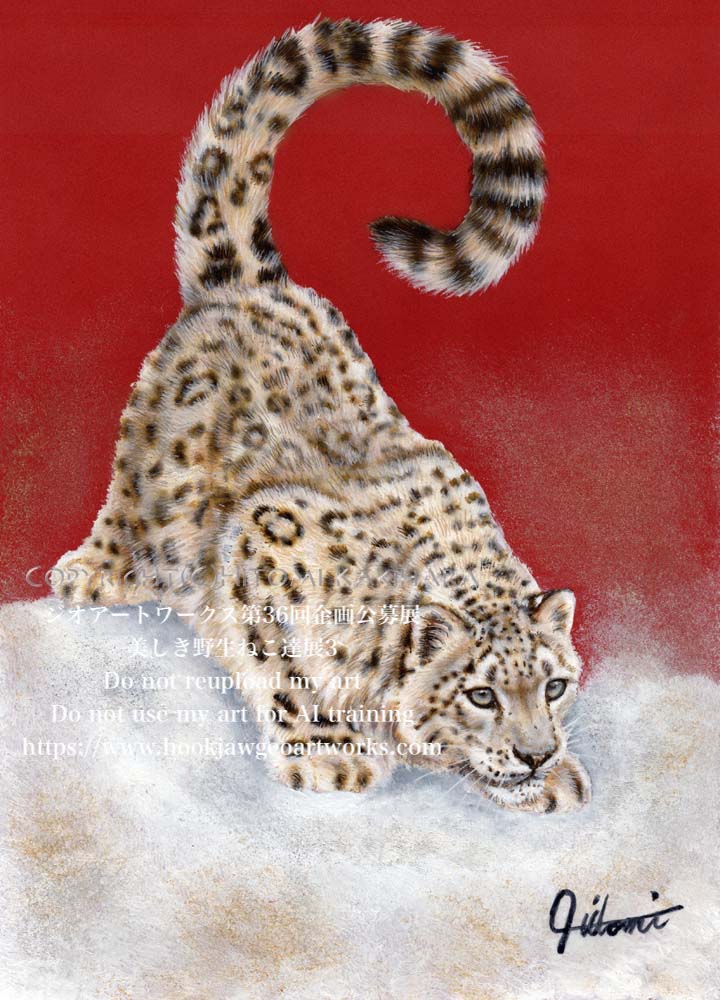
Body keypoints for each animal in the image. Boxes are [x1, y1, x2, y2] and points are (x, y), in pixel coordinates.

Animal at [52, 18, 591, 813]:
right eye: (482, 695)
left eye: (554, 685)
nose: (535, 753)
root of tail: (253, 283)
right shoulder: (264, 544)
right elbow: (279, 664)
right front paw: (329, 749)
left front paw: (554, 780)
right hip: (154, 477)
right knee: (130, 519)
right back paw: (91, 573)